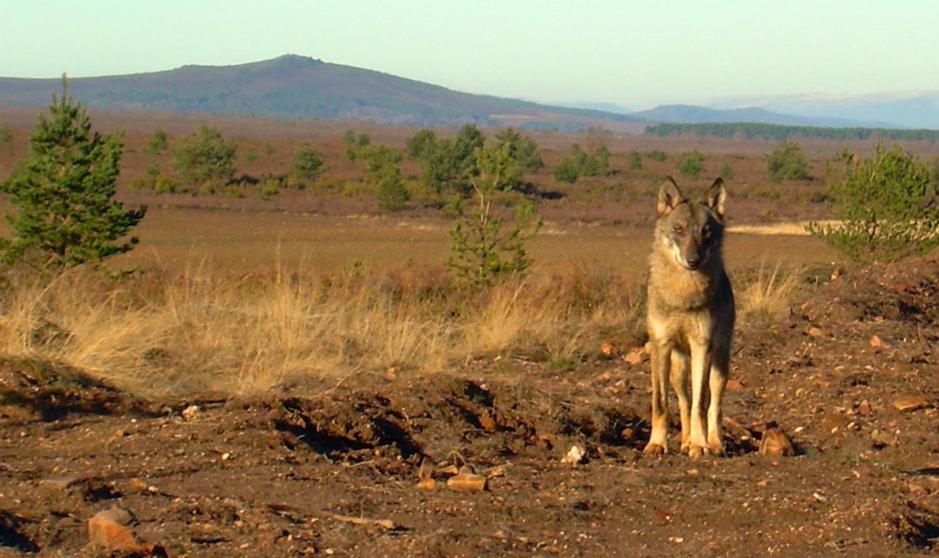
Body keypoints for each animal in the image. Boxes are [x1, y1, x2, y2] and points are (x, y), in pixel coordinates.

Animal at [648, 178, 736, 460]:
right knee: (684, 401)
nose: (693, 260)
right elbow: (662, 403)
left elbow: (701, 403)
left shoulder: (701, 346)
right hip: (678, 369)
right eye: (679, 229)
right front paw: (656, 444)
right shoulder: (660, 346)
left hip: (719, 364)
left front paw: (700, 445)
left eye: (706, 231)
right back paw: (685, 441)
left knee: (713, 403)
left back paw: (714, 443)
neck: (683, 296)